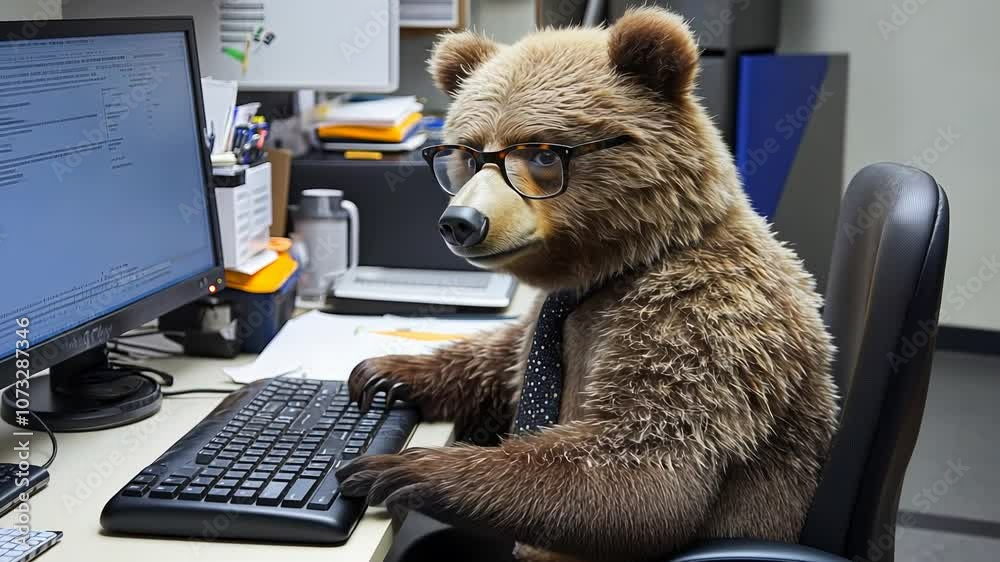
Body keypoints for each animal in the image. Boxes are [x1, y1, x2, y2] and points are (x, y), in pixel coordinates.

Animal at [336, 7, 839, 562]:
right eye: (467, 152)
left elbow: (645, 467)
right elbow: (504, 359)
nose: (460, 222)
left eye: (540, 153)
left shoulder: (702, 322)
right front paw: (386, 371)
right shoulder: (545, 316)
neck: (617, 262)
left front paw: (401, 467)